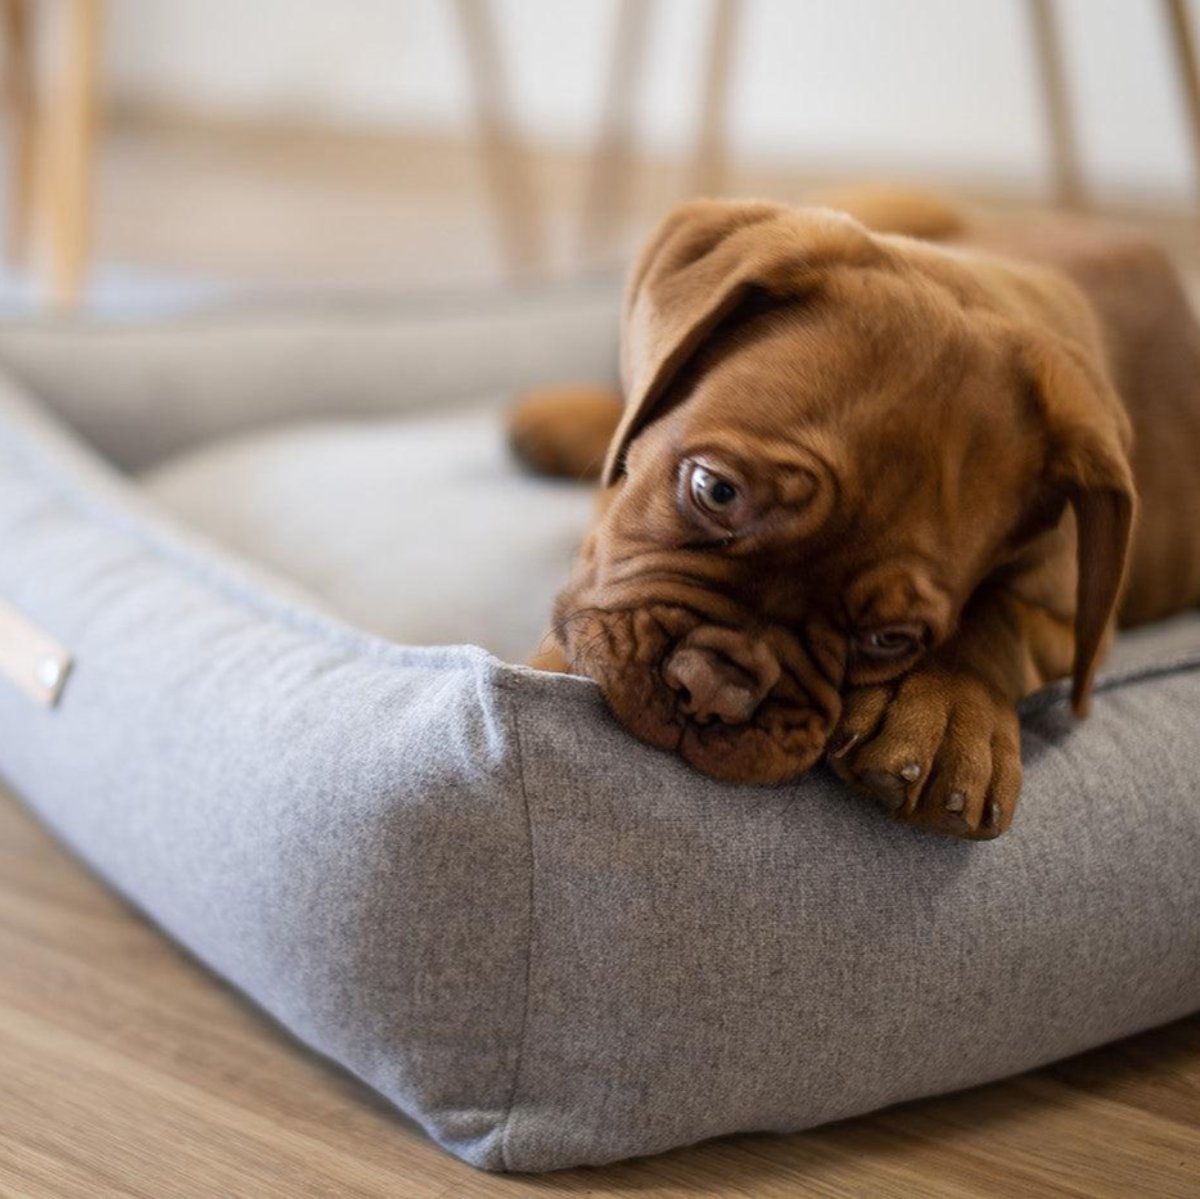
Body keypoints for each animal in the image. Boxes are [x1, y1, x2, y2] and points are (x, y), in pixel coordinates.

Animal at [506, 192, 1200, 840]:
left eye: (890, 638)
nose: (713, 691)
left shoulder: (1073, 618)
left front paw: (947, 715)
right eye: (716, 491)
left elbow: (998, 618)